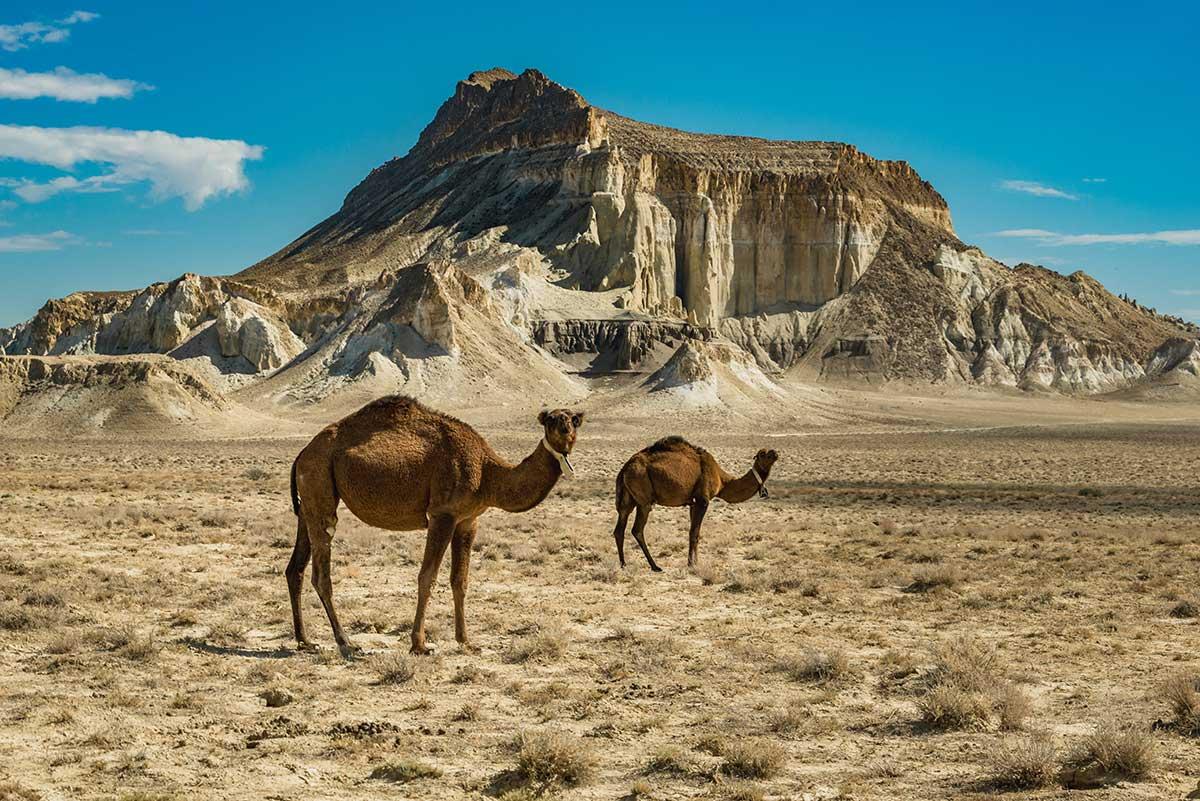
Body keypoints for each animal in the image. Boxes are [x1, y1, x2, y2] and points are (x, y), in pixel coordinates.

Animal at [282, 395, 580, 657]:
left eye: (575, 419)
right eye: (550, 419)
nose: (565, 431)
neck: (488, 472)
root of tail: (301, 454)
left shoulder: (467, 521)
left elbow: (460, 580)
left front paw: (466, 641)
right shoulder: (442, 514)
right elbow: (427, 577)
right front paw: (419, 645)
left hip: (309, 502)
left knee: (295, 569)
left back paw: (304, 640)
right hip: (320, 482)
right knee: (321, 573)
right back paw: (345, 643)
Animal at [609, 434, 777, 573]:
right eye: (762, 454)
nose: (775, 453)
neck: (722, 480)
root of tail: (624, 468)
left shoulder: (692, 503)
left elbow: (695, 532)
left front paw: (695, 561)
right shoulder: (702, 500)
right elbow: (694, 533)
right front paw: (692, 564)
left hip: (627, 500)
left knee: (620, 528)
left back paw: (624, 564)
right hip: (643, 498)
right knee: (637, 529)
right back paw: (655, 566)